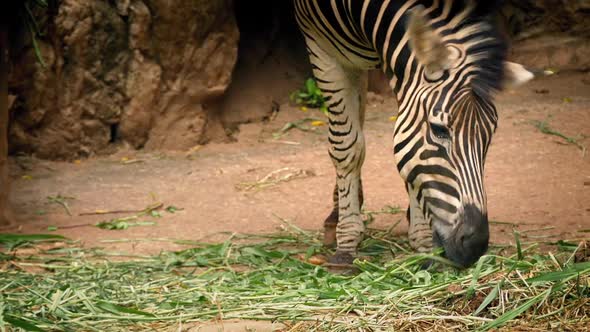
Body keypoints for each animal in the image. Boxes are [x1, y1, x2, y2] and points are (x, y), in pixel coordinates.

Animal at [296, 0, 536, 268]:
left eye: (490, 134)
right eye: (439, 130)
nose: (475, 245)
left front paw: (423, 243)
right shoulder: (321, 47)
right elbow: (347, 147)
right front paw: (346, 245)